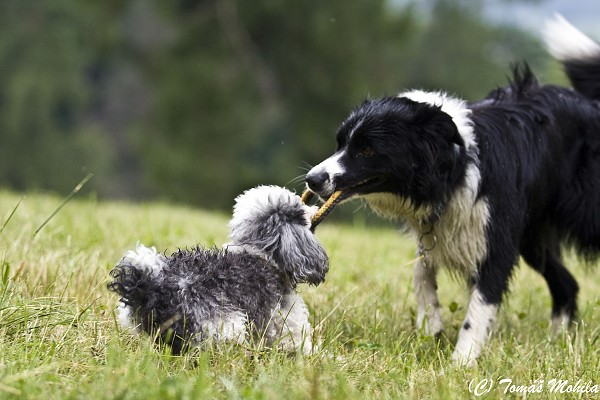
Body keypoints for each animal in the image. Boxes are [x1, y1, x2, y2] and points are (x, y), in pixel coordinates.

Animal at [106, 184, 328, 354]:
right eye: (299, 209)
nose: (313, 206)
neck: (259, 252)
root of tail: (154, 287)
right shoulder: (285, 322)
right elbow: (298, 345)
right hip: (226, 327)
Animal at [304, 15, 600, 366]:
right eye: (340, 143)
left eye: (366, 149)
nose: (312, 179)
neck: (452, 169)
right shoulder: (436, 232)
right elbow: (421, 273)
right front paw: (430, 324)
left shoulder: (496, 239)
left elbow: (481, 303)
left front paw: (462, 361)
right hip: (533, 237)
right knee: (567, 283)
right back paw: (557, 341)